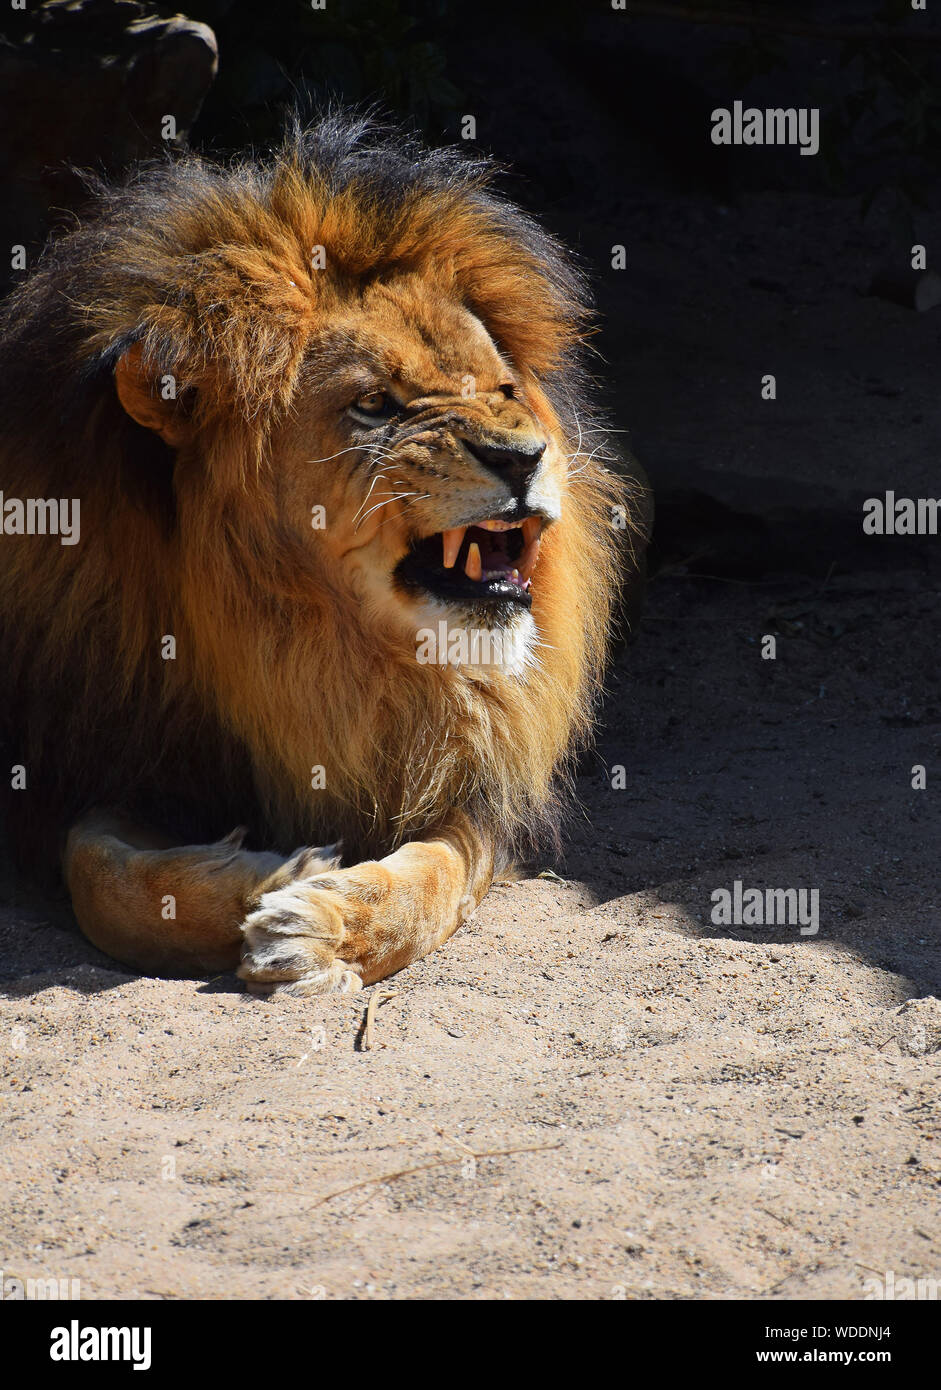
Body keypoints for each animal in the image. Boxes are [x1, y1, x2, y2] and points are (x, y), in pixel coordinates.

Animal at [0, 112, 645, 995]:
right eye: (374, 405)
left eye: (502, 389)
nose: (524, 456)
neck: (299, 644)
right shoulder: (84, 759)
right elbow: (102, 879)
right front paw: (265, 876)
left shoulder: (468, 774)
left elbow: (432, 880)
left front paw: (326, 925)